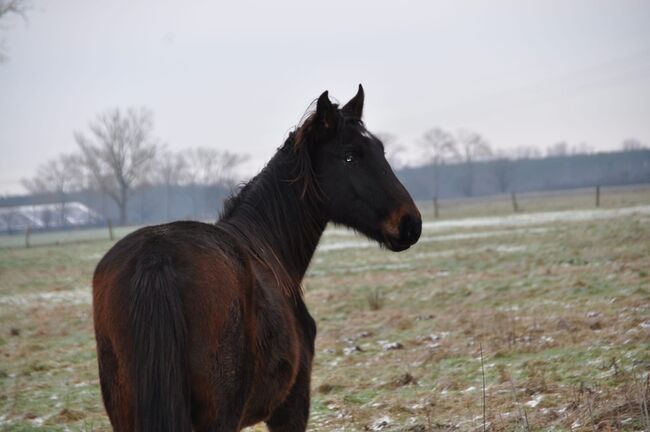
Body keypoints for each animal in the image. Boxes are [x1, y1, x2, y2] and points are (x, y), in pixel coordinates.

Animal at [93, 85, 422, 432]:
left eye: (380, 150)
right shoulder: (290, 406)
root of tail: (156, 258)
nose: (410, 223)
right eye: (350, 156)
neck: (268, 248)